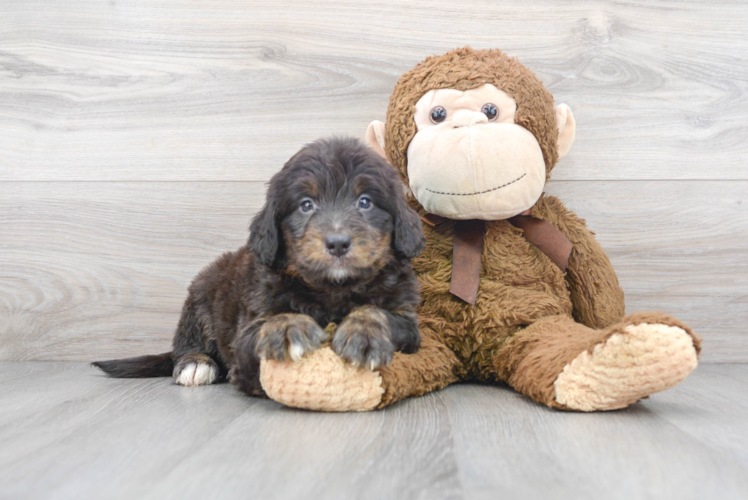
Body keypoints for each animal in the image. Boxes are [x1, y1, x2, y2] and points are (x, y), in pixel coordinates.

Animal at [92, 136, 426, 394]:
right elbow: (268, 322)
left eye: (365, 202)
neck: (334, 288)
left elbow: (379, 312)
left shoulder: (407, 319)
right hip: (199, 295)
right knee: (186, 342)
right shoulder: (249, 326)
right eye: (306, 205)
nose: (338, 243)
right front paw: (287, 327)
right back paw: (195, 363)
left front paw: (364, 332)